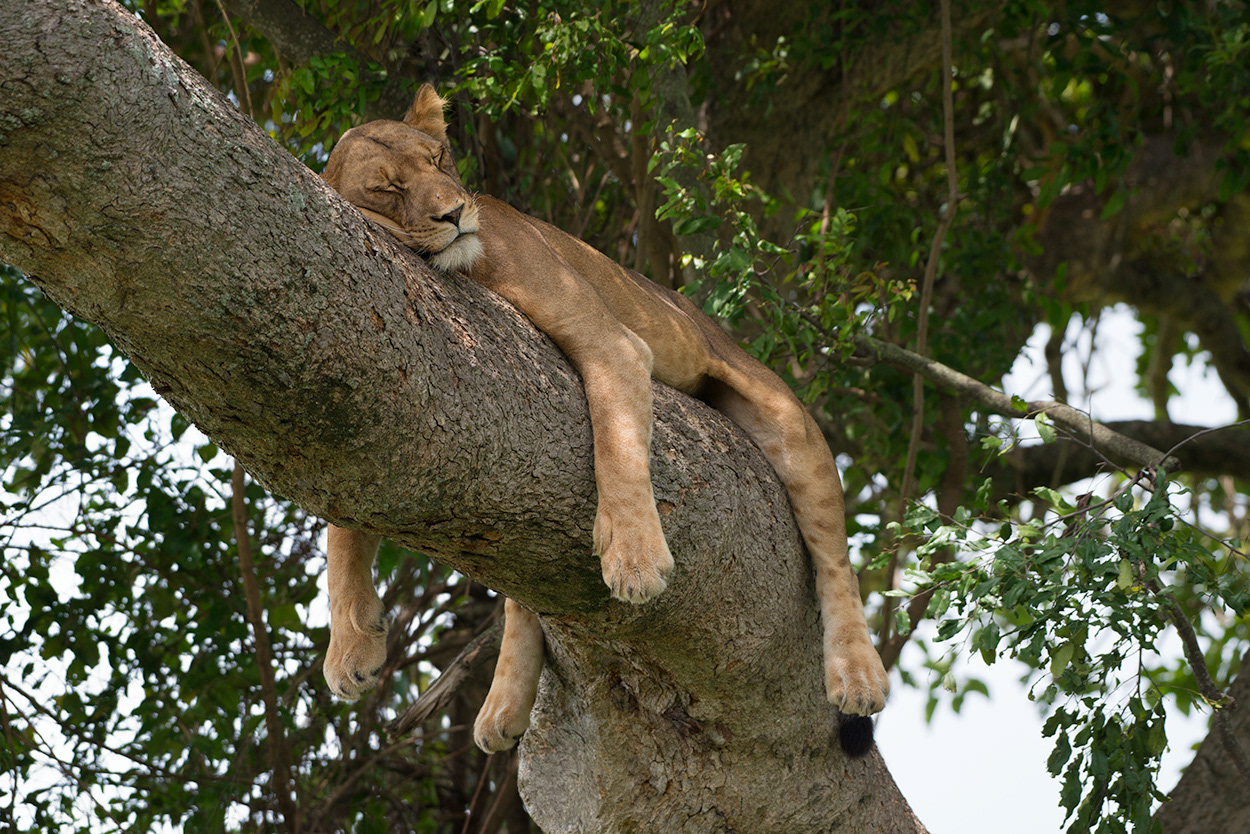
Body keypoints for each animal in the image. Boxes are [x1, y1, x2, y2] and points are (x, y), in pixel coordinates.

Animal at [318, 84, 890, 757]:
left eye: (438, 159)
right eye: (388, 188)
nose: (456, 213)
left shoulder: (611, 343)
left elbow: (616, 446)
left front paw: (635, 560)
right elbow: (340, 531)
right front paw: (351, 645)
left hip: (784, 420)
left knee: (835, 564)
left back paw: (858, 673)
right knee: (520, 594)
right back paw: (505, 703)